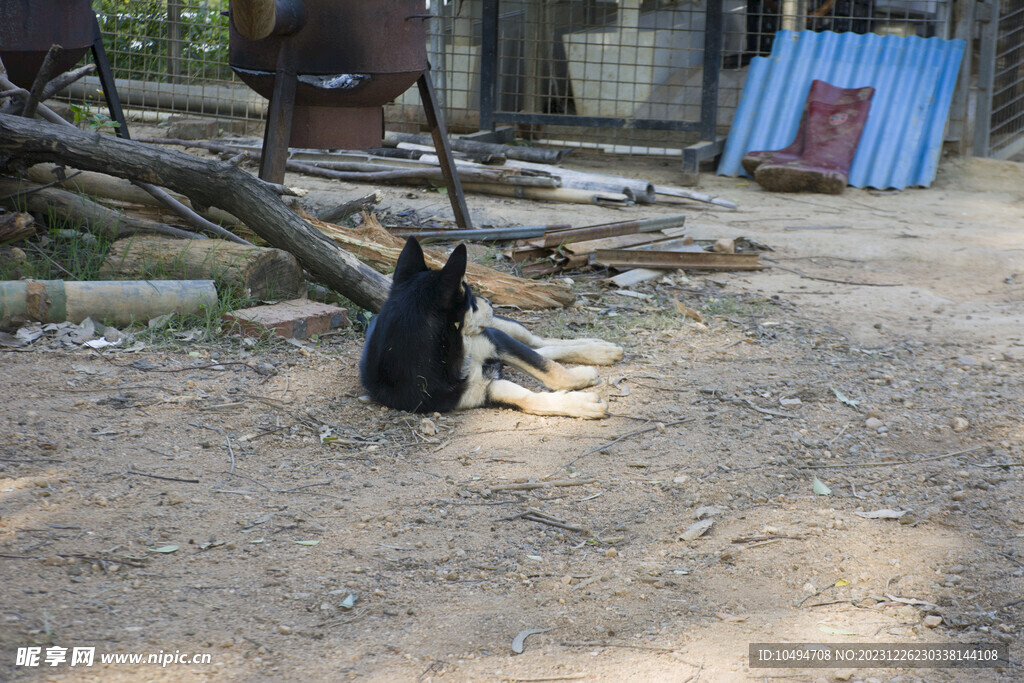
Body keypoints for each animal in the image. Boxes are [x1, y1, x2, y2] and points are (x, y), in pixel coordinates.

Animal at [360, 240, 622, 421]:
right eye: (470, 298)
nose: (490, 303)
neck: (454, 354)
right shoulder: (478, 391)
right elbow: (527, 396)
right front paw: (581, 404)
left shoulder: (496, 340)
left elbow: (548, 369)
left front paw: (580, 377)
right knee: (541, 349)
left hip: (503, 328)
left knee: (536, 342)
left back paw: (599, 349)